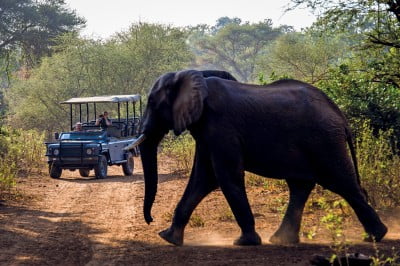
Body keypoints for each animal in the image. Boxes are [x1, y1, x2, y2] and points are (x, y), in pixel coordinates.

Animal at [139, 68, 390, 245]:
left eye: (151, 102)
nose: (150, 220)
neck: (195, 76)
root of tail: (339, 114)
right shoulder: (206, 133)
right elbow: (202, 179)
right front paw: (168, 238)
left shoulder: (222, 128)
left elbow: (226, 177)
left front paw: (245, 242)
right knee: (301, 186)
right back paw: (282, 240)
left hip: (325, 141)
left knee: (341, 182)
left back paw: (375, 237)